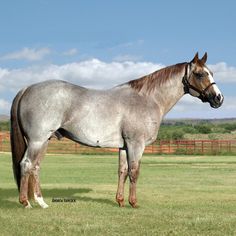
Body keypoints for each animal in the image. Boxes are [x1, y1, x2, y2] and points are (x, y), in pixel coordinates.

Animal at [9, 52, 223, 208]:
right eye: (200, 74)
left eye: (211, 72)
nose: (218, 98)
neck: (147, 99)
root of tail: (27, 88)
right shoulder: (136, 144)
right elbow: (134, 172)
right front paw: (133, 203)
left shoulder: (124, 146)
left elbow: (122, 171)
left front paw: (120, 201)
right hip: (37, 140)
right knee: (26, 165)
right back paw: (26, 203)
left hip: (45, 140)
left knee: (36, 167)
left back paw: (41, 202)